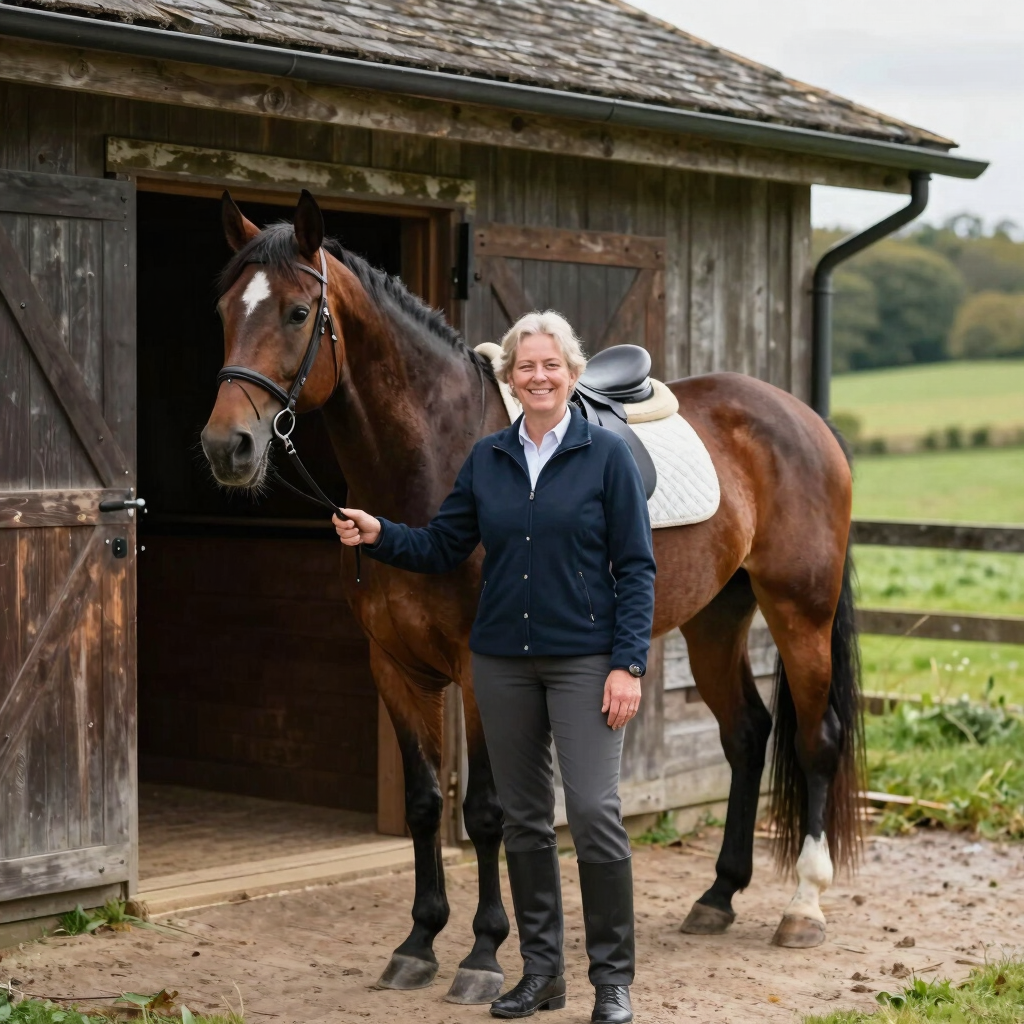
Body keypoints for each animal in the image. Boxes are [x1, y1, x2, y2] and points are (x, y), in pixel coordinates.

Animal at [200, 190, 863, 1002]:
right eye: (225, 309)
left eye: (298, 312)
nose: (227, 446)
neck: (433, 465)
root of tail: (803, 418)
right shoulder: (394, 667)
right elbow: (425, 804)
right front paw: (418, 941)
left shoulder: (481, 672)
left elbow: (488, 811)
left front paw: (484, 955)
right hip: (715, 620)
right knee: (746, 734)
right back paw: (717, 896)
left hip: (800, 612)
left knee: (815, 739)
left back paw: (803, 907)